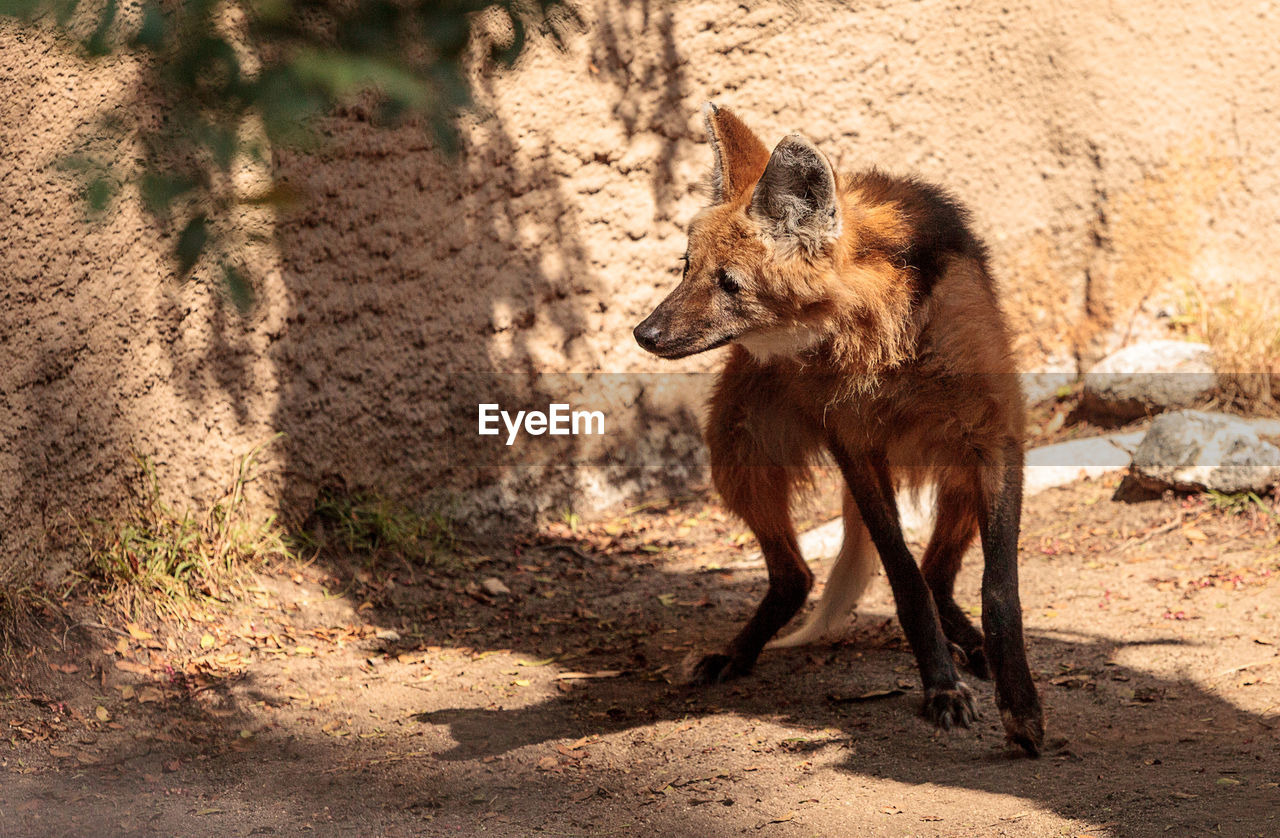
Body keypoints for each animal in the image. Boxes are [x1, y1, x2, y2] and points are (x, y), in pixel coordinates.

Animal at [634, 102, 1044, 752]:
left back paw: (976, 649)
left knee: (937, 571)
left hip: (954, 461)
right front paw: (942, 689)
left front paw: (1021, 708)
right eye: (687, 269)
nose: (643, 334)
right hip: (737, 448)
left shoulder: (994, 433)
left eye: (730, 282)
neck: (885, 343)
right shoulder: (855, 444)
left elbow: (999, 589)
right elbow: (903, 578)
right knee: (798, 575)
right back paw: (732, 656)